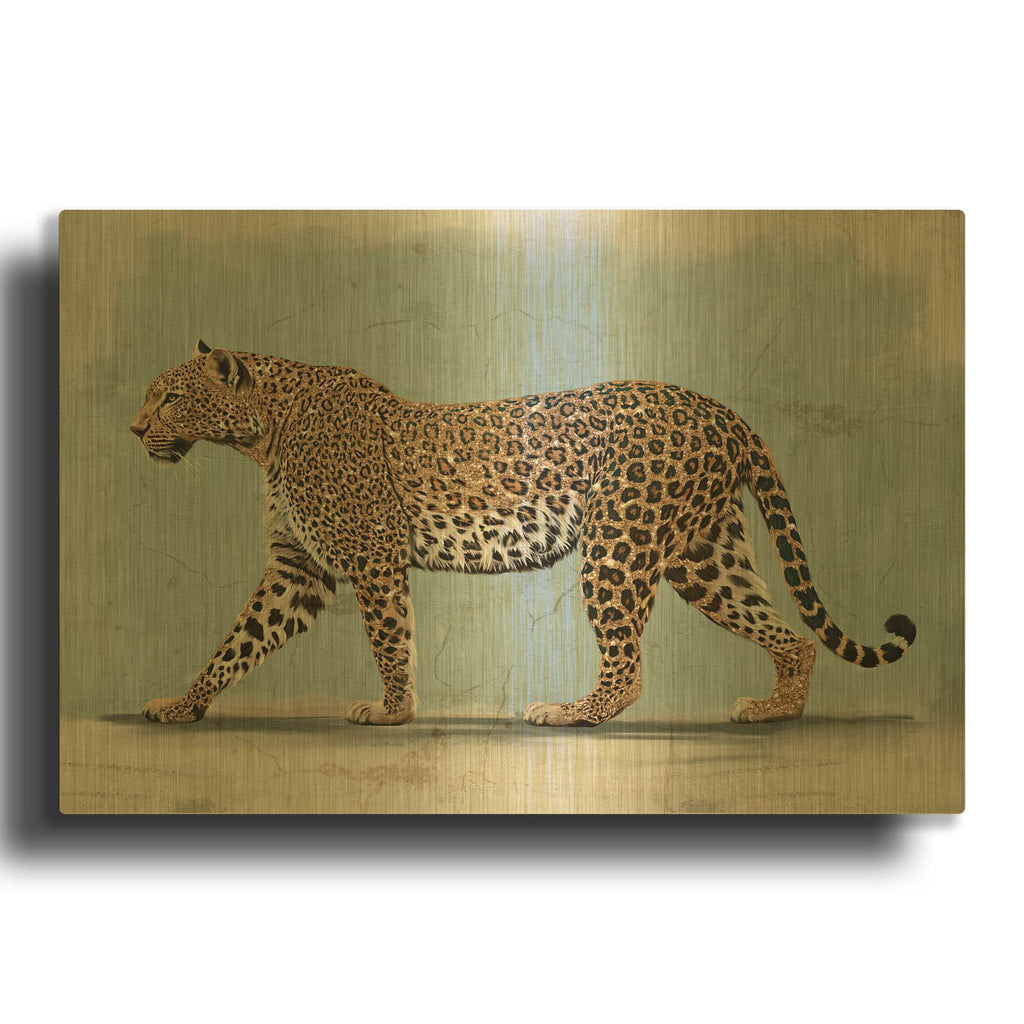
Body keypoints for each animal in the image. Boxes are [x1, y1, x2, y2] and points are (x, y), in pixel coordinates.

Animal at [130, 341, 916, 728]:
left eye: (169, 396)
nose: (134, 429)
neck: (263, 434)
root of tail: (719, 409)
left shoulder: (371, 560)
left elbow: (390, 641)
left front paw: (392, 713)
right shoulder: (296, 570)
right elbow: (235, 642)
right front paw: (181, 705)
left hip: (619, 546)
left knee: (629, 666)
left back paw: (570, 713)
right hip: (705, 555)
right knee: (792, 636)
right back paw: (775, 709)